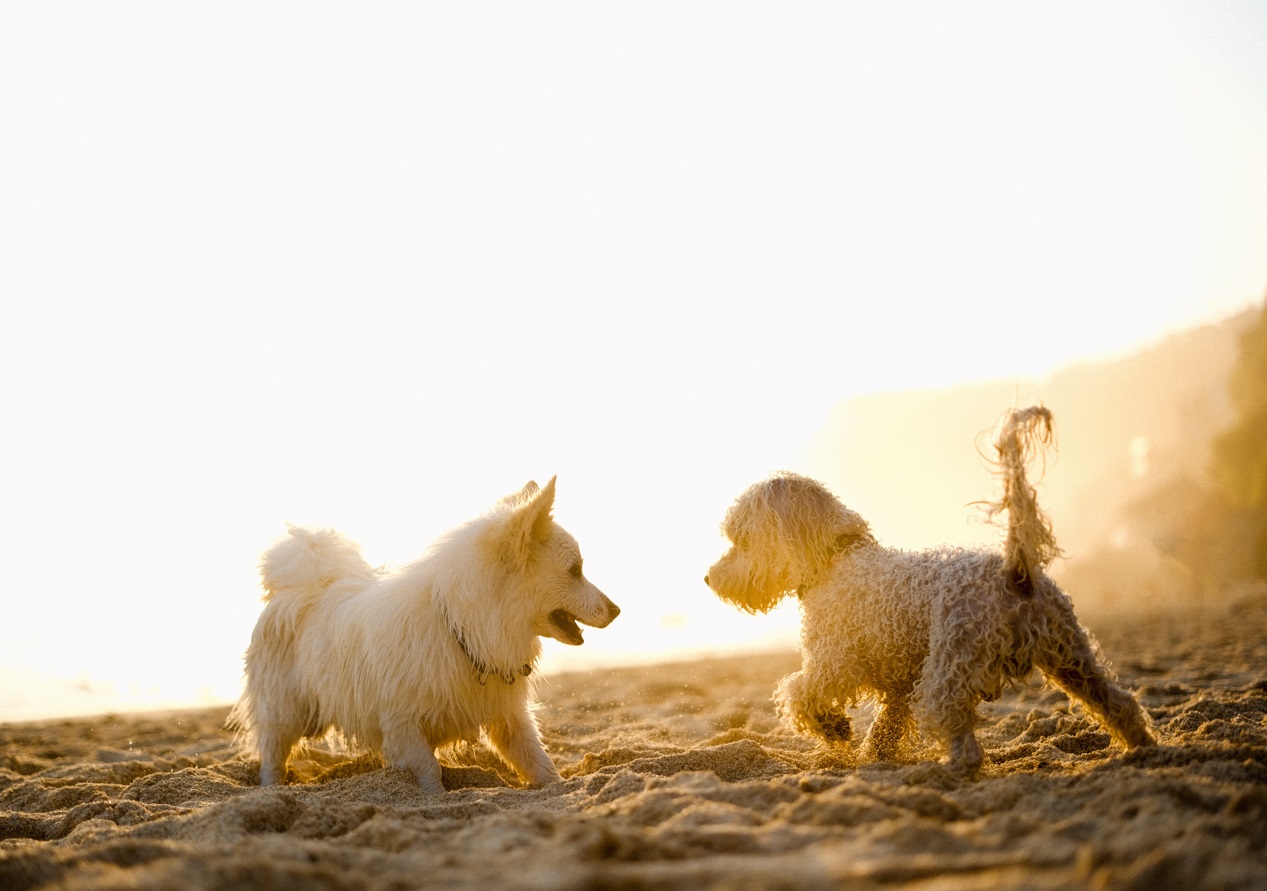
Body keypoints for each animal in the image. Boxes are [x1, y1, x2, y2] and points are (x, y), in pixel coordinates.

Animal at [235, 476, 620, 790]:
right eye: (575, 570)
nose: (617, 610)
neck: (465, 630)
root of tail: (300, 589)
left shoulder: (508, 719)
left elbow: (539, 762)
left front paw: (559, 787)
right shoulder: (402, 725)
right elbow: (429, 770)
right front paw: (435, 795)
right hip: (284, 714)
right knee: (273, 756)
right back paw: (271, 789)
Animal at [704, 405, 1160, 775]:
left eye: (742, 539)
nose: (709, 579)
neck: (837, 557)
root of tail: (1013, 571)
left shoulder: (834, 661)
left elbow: (798, 692)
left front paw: (834, 729)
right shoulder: (898, 683)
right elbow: (885, 725)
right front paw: (872, 754)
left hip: (951, 667)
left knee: (959, 733)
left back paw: (950, 769)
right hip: (1071, 657)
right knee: (1119, 702)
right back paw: (1144, 748)